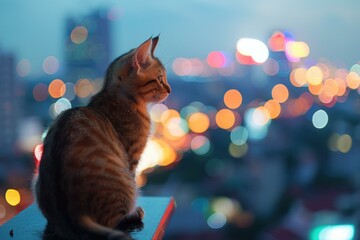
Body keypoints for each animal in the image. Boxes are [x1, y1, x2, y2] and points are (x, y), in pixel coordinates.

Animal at [33, 36, 171, 240]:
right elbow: (133, 176)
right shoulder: (132, 156)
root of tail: (71, 215)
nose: (170, 89)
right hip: (124, 182)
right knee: (112, 220)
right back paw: (132, 214)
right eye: (160, 79)